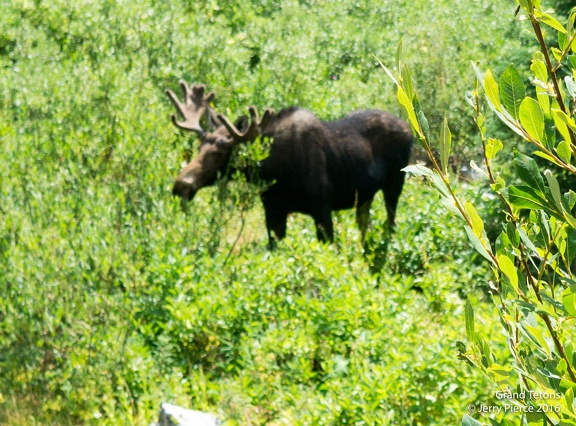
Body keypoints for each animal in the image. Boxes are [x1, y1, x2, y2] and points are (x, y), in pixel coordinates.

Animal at [166, 81, 414, 246]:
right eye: (199, 147)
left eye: (220, 152)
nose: (181, 186)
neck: (272, 172)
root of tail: (409, 130)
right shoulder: (273, 211)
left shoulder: (322, 208)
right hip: (364, 195)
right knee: (365, 226)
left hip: (395, 185)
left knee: (390, 224)